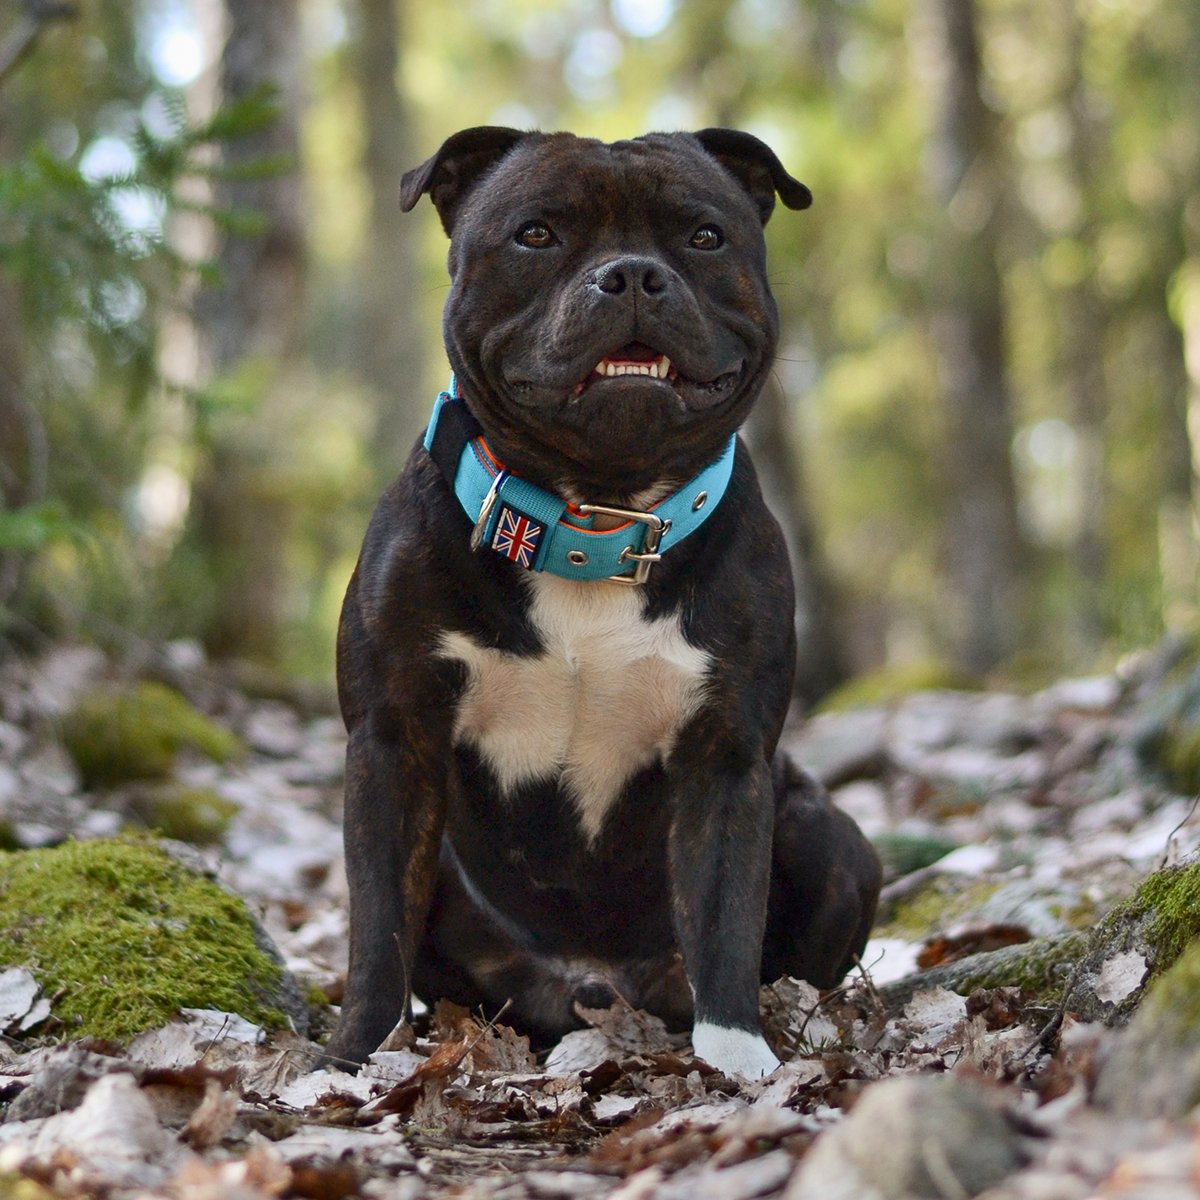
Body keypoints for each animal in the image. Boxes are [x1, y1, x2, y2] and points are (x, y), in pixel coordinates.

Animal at [326, 124, 883, 1080]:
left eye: (704, 236)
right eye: (536, 234)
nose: (630, 275)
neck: (596, 516)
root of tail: (593, 990)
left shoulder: (726, 758)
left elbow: (725, 922)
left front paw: (739, 1060)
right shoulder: (392, 742)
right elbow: (376, 928)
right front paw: (358, 1055)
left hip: (827, 836)